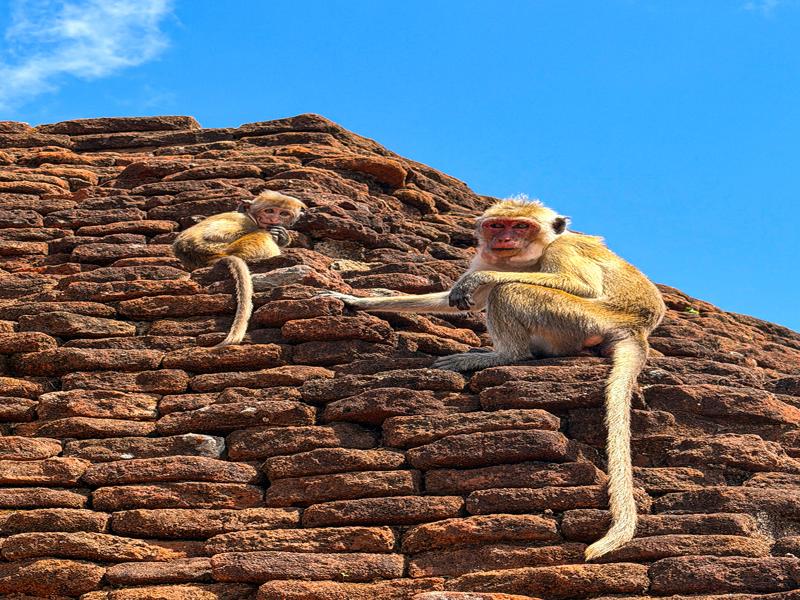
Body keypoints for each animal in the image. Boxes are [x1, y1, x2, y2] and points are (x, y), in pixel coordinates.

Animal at [173, 190, 306, 347]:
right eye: (269, 211)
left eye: (283, 214)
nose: (273, 219)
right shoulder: (244, 221)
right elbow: (212, 234)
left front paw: (283, 236)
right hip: (236, 249)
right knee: (261, 234)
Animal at [322, 198, 666, 560]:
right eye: (497, 225)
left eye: (522, 226)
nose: (504, 240)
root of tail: (635, 329)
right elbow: (451, 299)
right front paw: (358, 300)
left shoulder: (563, 249)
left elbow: (576, 285)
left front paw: (482, 280)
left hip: (581, 320)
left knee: (510, 289)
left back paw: (504, 355)